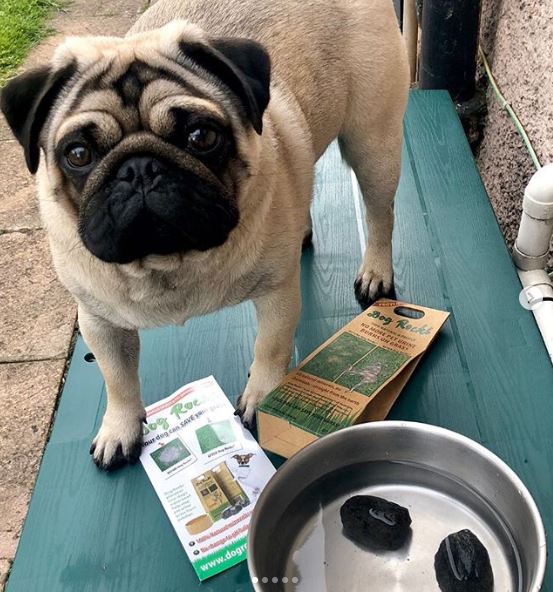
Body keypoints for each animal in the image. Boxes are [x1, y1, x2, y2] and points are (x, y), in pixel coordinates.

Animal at [0, 1, 406, 472]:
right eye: (78, 154)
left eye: (201, 136)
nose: (140, 168)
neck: (172, 262)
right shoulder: (98, 319)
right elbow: (117, 378)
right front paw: (120, 427)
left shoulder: (277, 292)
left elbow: (270, 347)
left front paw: (261, 396)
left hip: (372, 144)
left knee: (380, 214)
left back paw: (376, 270)